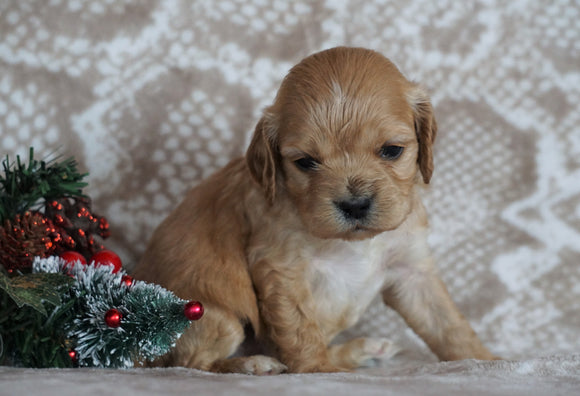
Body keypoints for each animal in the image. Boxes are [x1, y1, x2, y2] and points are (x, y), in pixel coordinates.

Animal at [134, 46, 496, 374]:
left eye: (392, 150)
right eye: (306, 162)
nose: (355, 204)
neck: (355, 243)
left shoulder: (412, 269)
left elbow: (448, 324)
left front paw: (487, 361)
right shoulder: (281, 269)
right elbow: (299, 329)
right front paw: (318, 370)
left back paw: (362, 351)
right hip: (215, 315)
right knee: (192, 363)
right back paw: (254, 364)